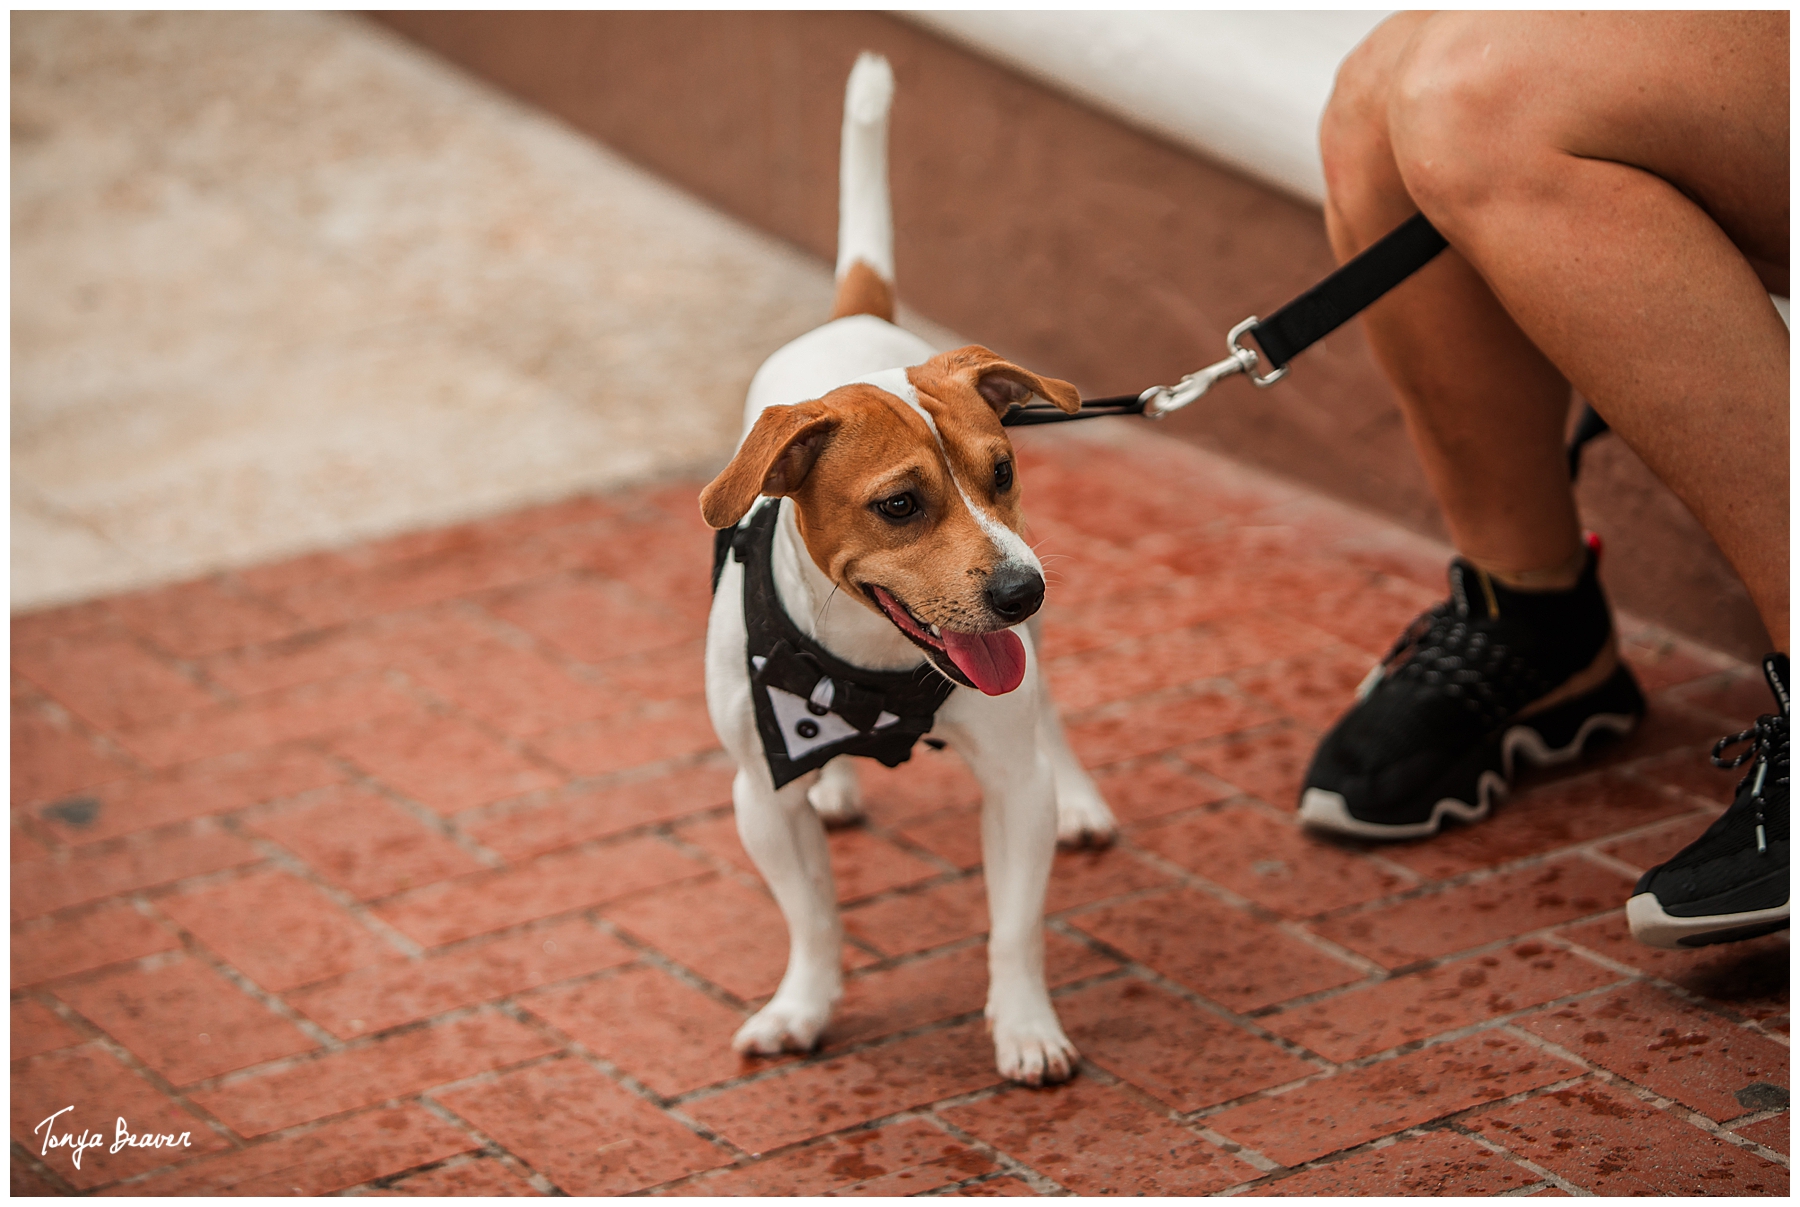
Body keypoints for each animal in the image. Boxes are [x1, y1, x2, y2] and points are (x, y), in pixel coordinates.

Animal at [698, 51, 1108, 1086]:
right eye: (899, 506)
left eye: (1001, 472)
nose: (1021, 591)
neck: (874, 670)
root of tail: (858, 317)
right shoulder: (761, 795)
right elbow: (813, 919)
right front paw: (802, 1007)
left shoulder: (1011, 783)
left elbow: (1014, 926)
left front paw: (1025, 1025)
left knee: (1051, 712)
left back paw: (1082, 793)